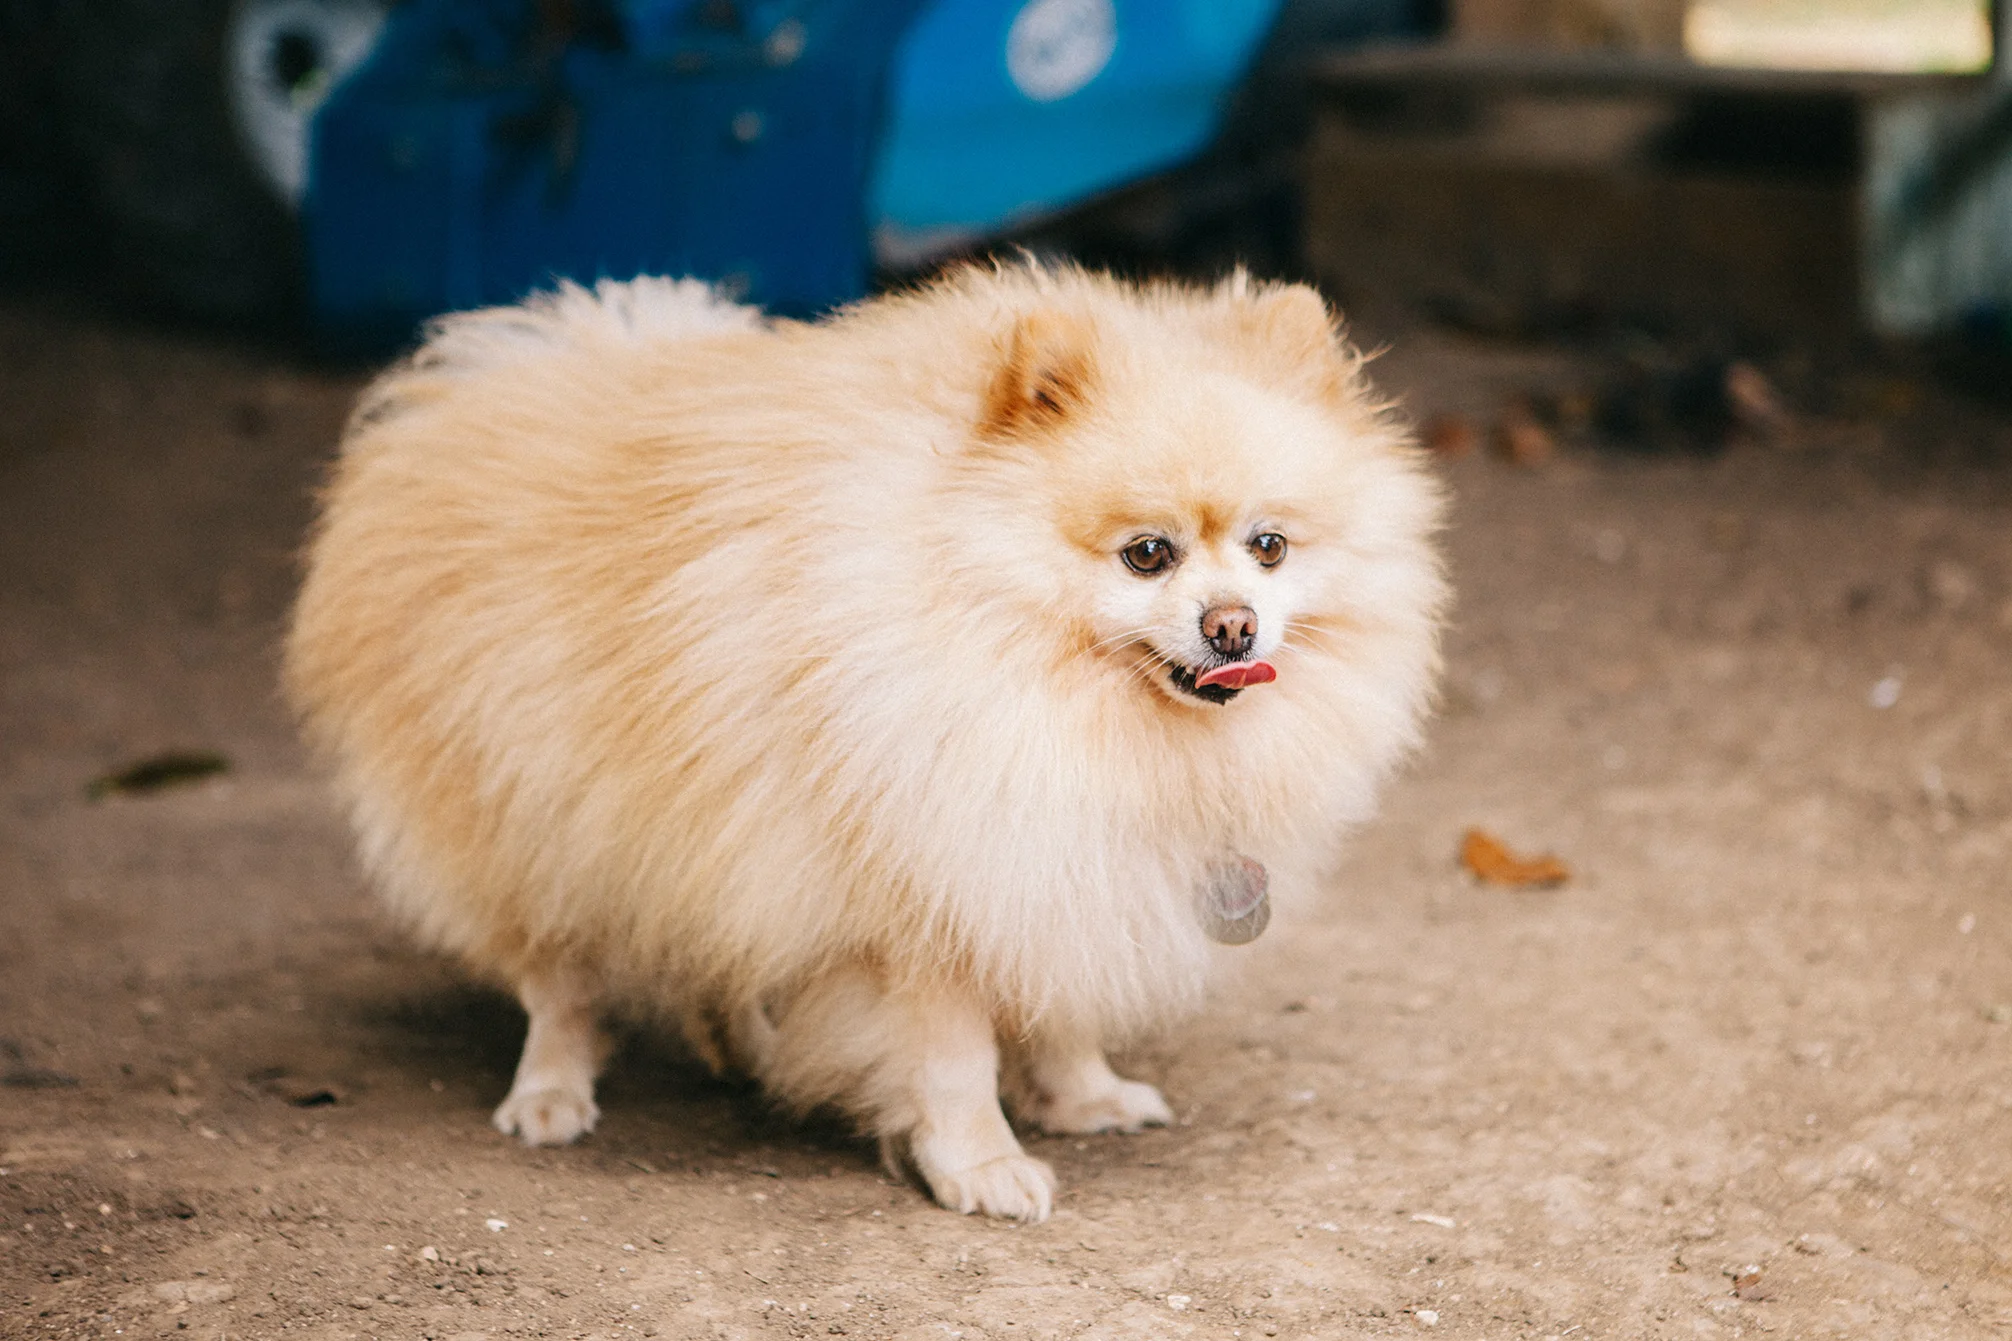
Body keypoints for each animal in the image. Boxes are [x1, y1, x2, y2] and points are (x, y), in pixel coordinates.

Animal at [284, 262, 1445, 1222]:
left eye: (1268, 546)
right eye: (1147, 554)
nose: (1232, 627)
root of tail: (494, 371)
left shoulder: (1056, 861)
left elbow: (1058, 998)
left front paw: (1083, 1093)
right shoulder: (923, 893)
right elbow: (954, 1057)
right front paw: (981, 1165)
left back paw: (747, 1046)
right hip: (533, 812)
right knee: (558, 980)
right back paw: (552, 1092)